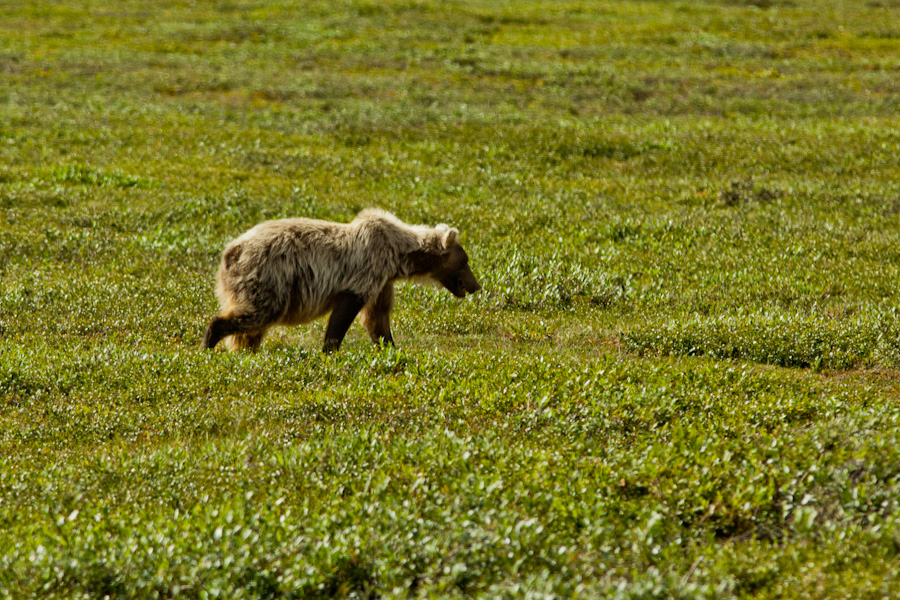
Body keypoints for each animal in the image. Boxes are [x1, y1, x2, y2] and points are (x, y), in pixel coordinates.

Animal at [201, 210, 482, 352]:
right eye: (465, 261)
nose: (476, 285)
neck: (397, 256)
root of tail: (230, 251)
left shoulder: (383, 281)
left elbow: (377, 318)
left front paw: (390, 346)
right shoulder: (367, 269)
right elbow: (345, 312)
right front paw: (330, 350)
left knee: (252, 329)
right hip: (269, 277)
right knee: (256, 314)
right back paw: (209, 344)